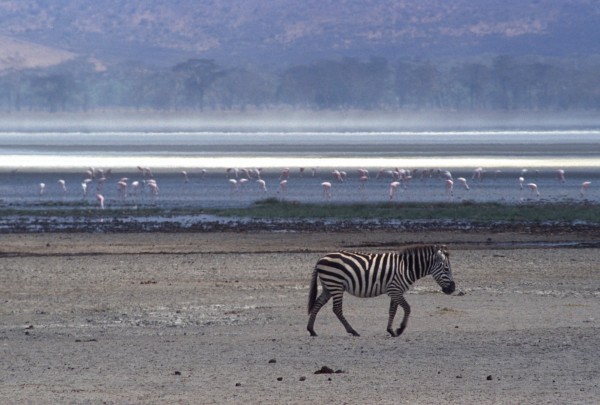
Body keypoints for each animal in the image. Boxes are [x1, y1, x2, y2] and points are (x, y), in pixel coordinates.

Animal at [308, 245, 458, 336]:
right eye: (446, 269)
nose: (452, 289)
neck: (406, 267)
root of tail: (321, 258)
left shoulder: (395, 291)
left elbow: (392, 310)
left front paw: (391, 330)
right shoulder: (395, 290)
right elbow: (407, 308)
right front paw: (400, 329)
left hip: (329, 286)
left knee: (318, 303)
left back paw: (311, 330)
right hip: (336, 285)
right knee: (337, 309)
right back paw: (352, 331)